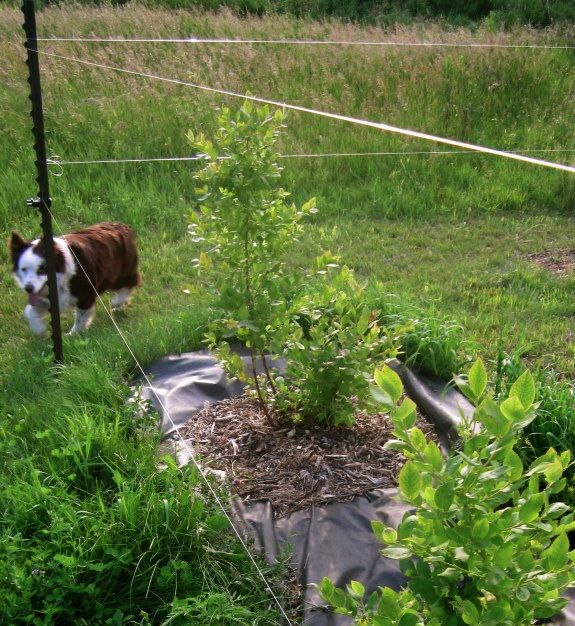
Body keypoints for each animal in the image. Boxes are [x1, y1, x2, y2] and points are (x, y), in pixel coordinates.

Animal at [9, 221, 141, 334]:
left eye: (42, 269)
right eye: (23, 269)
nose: (28, 288)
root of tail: (121, 225)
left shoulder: (85, 295)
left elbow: (81, 317)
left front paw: (74, 334)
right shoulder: (46, 299)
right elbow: (30, 311)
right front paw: (40, 330)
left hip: (123, 271)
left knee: (129, 284)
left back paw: (117, 303)